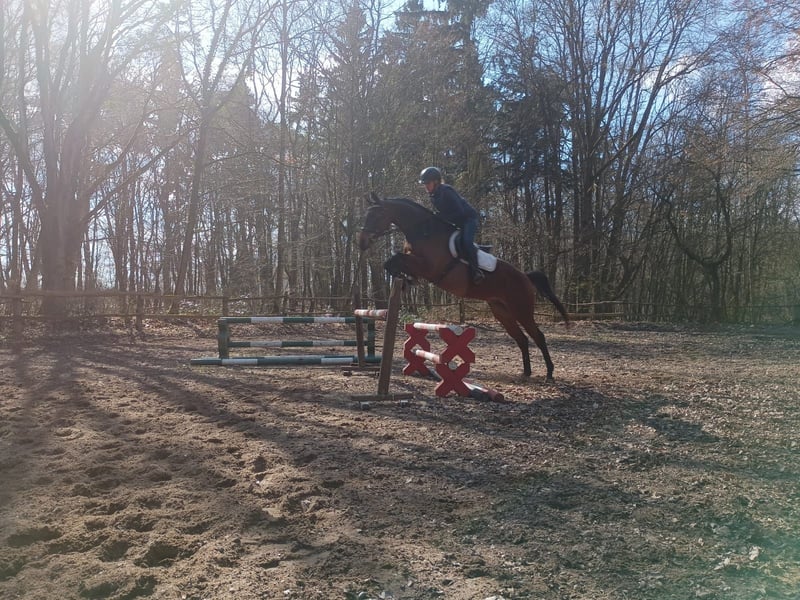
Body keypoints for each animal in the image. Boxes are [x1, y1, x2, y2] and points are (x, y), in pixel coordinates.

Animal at [358, 193, 570, 381]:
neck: (423, 231)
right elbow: (393, 262)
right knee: (522, 338)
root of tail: (525, 276)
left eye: (376, 215)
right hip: (502, 312)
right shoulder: (415, 262)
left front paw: (403, 279)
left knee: (538, 336)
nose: (362, 242)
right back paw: (526, 372)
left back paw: (549, 373)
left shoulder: (429, 267)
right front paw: (405, 280)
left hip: (521, 310)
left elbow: (396, 259)